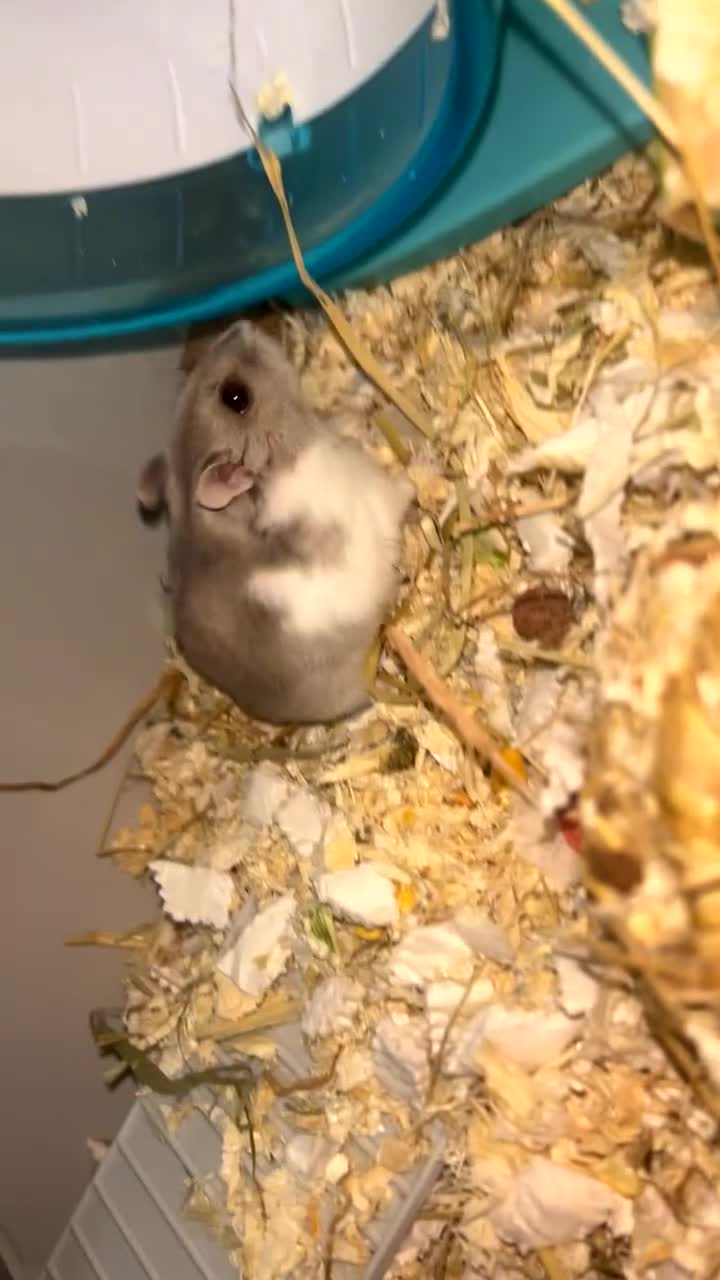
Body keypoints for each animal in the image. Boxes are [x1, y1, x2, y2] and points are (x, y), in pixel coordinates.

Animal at [137, 320, 414, 725]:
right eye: (235, 396)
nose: (241, 325)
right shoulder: (372, 493)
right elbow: (399, 493)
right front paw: (421, 474)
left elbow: (345, 418)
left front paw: (366, 401)